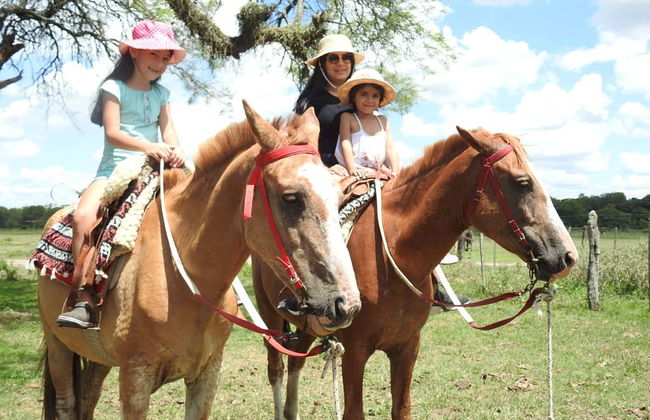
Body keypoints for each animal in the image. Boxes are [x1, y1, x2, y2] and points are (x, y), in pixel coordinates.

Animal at [37, 102, 362, 420]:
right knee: (67, 404)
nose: (345, 304)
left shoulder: (207, 374)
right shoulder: (135, 379)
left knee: (88, 398)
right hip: (58, 346)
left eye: (339, 196)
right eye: (291, 197)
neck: (186, 279)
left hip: (98, 358)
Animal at [252, 126, 578, 420]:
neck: (392, 256)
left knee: (295, 364)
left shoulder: (407, 347)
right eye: (523, 182)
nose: (567, 256)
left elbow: (402, 409)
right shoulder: (355, 350)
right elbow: (354, 412)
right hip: (271, 318)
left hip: (307, 327)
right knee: (276, 369)